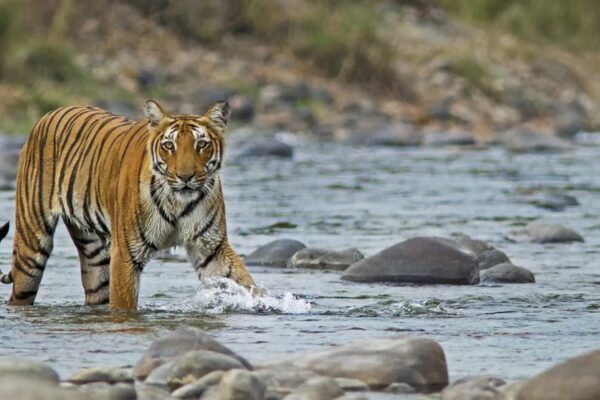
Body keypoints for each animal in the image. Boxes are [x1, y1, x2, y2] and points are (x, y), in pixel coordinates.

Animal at [0, 99, 255, 310]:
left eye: (201, 144)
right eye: (169, 146)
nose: (185, 177)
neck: (177, 202)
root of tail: (49, 113)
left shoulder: (211, 247)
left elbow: (243, 282)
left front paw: (261, 304)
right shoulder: (125, 254)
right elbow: (124, 304)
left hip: (94, 253)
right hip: (32, 245)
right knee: (20, 291)